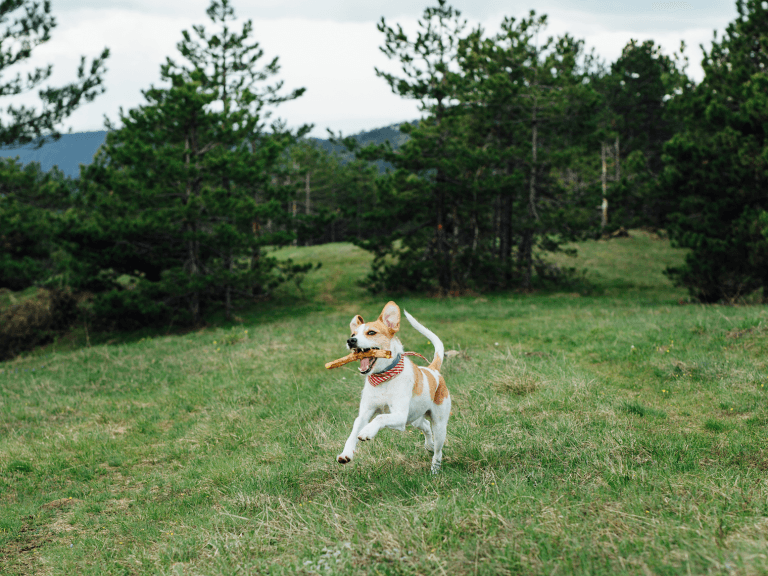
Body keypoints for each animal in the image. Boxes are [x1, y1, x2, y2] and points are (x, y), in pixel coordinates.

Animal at [336, 302, 450, 472]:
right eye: (353, 333)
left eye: (371, 332)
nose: (351, 341)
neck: (383, 379)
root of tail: (433, 370)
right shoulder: (365, 414)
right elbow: (353, 433)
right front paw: (346, 454)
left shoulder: (399, 415)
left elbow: (380, 417)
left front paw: (367, 431)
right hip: (414, 418)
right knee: (425, 426)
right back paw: (428, 446)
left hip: (439, 424)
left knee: (438, 449)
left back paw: (435, 469)